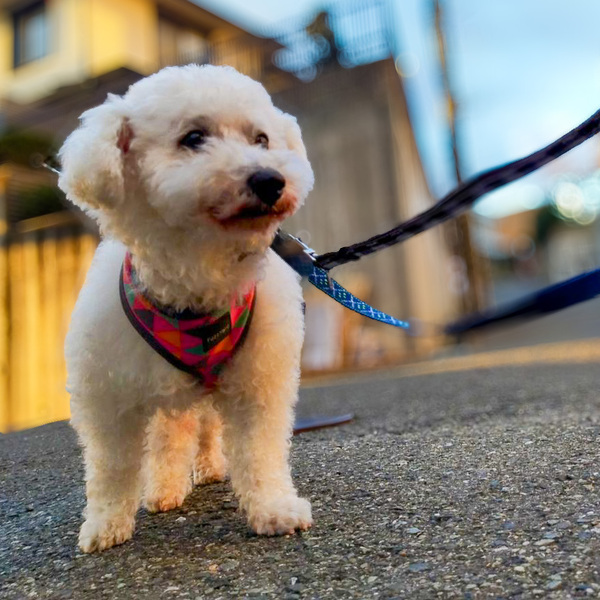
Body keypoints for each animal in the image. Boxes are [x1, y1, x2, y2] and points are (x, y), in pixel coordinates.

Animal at [58, 64, 315, 553]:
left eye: (261, 139)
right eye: (194, 138)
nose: (270, 180)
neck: (199, 275)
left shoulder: (259, 380)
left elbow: (259, 450)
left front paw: (273, 508)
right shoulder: (107, 393)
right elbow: (112, 465)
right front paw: (105, 524)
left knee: (203, 430)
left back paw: (207, 469)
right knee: (169, 438)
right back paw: (164, 488)